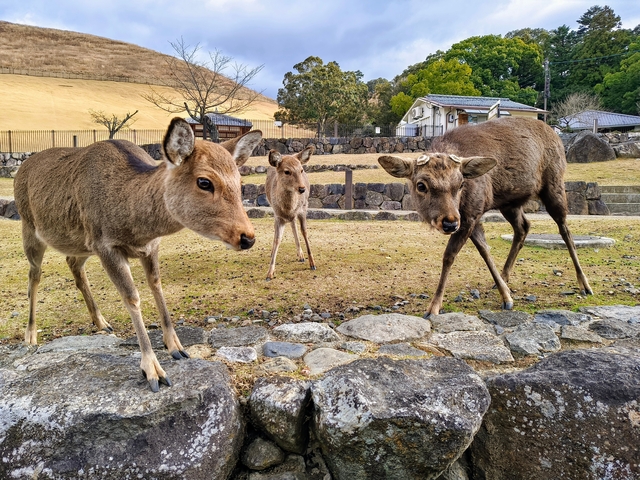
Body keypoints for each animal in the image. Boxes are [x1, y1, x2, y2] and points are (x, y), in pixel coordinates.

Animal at [13, 117, 262, 392]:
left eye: (239, 182)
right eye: (205, 182)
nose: (247, 237)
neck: (136, 226)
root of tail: (22, 168)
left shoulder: (149, 246)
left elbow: (156, 285)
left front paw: (176, 347)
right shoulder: (105, 245)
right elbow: (132, 297)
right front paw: (153, 371)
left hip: (81, 243)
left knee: (72, 263)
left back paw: (101, 322)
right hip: (30, 227)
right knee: (34, 276)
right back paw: (30, 335)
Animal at [265, 147, 316, 280]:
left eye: (301, 170)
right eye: (287, 171)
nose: (302, 189)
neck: (288, 208)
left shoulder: (303, 209)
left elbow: (304, 232)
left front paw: (312, 264)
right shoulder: (278, 215)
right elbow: (277, 239)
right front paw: (269, 273)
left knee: (294, 226)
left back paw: (301, 255)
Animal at [378, 116, 592, 317]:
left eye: (461, 184)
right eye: (421, 185)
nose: (449, 223)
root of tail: (556, 135)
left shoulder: (471, 213)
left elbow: (449, 256)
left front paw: (433, 307)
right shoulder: (471, 216)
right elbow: (485, 250)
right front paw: (506, 295)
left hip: (554, 184)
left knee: (564, 229)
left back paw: (584, 284)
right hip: (510, 203)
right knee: (523, 226)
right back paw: (505, 277)